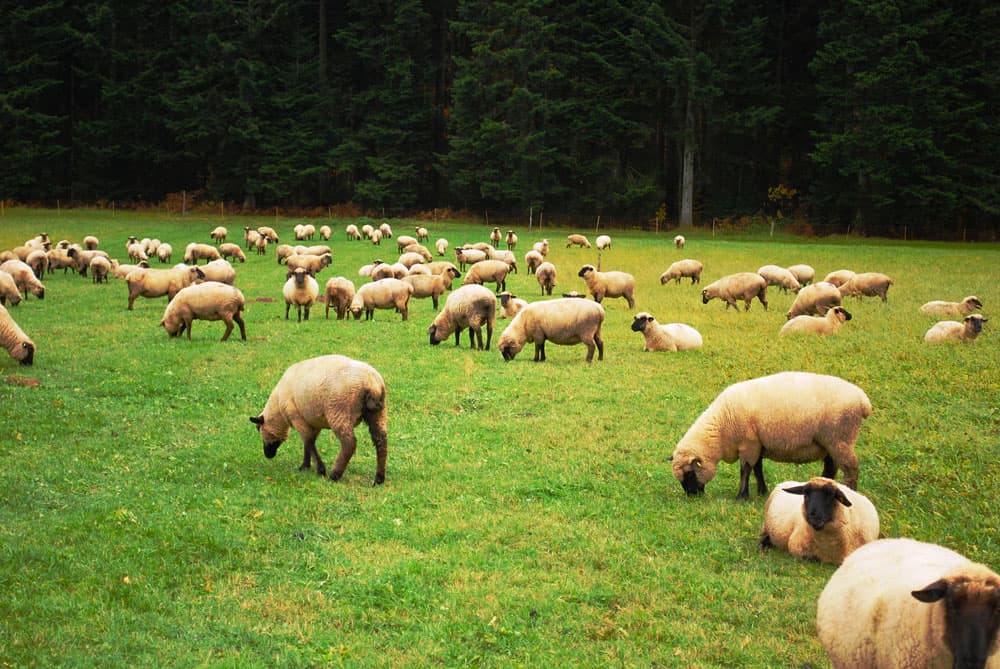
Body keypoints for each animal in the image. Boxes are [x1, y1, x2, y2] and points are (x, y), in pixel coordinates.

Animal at [250, 354, 390, 486]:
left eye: (260, 430)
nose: (268, 455)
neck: (278, 408)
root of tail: (372, 384)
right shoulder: (312, 422)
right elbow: (308, 443)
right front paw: (305, 466)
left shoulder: (297, 418)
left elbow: (308, 441)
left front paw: (320, 470)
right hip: (378, 413)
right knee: (381, 441)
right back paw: (379, 479)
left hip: (339, 411)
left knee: (349, 443)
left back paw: (334, 475)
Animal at [668, 368, 872, 498]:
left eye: (690, 474)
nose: (692, 496)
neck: (721, 428)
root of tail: (863, 401)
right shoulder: (758, 443)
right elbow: (757, 469)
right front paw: (762, 491)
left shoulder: (748, 443)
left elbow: (745, 469)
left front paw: (742, 495)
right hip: (831, 443)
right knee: (831, 467)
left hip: (840, 438)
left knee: (851, 468)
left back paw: (851, 493)